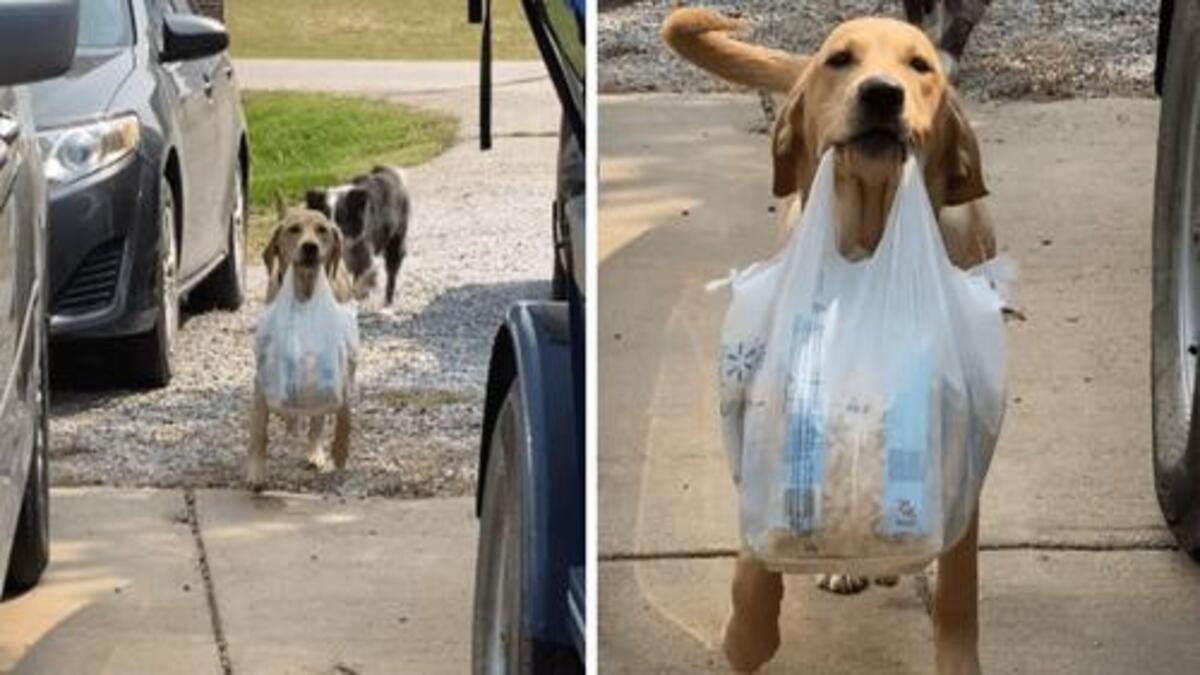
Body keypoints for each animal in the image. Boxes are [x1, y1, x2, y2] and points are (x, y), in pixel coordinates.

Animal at [246, 199, 352, 487]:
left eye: (322, 230)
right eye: (294, 229)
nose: (310, 247)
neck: (305, 297)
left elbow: (335, 413)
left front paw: (334, 451)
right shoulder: (264, 371)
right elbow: (259, 428)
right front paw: (256, 470)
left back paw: (315, 449)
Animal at [307, 165, 410, 302]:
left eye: (342, 218)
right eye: (323, 218)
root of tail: (389, 170)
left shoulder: (363, 249)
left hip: (396, 236)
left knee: (392, 267)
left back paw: (388, 299)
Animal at [667, 6, 993, 672]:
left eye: (918, 66)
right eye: (841, 59)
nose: (882, 93)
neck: (869, 242)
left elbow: (958, 590)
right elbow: (754, 555)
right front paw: (748, 634)